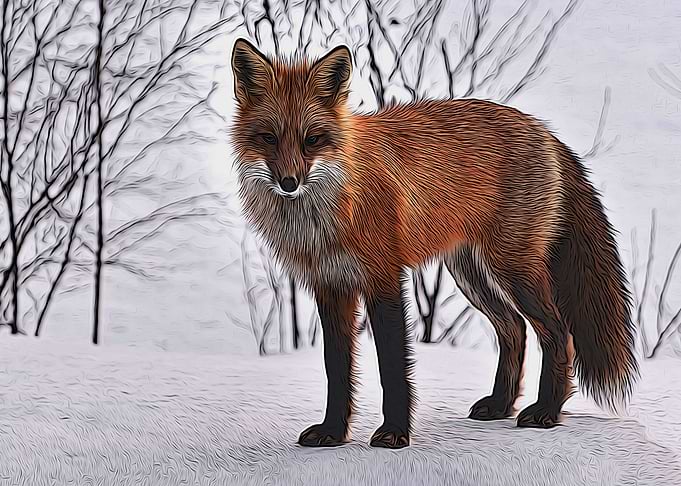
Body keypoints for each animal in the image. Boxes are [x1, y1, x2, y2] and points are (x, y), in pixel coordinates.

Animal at [229, 38, 639, 449]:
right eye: (268, 138)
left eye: (312, 140)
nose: (289, 183)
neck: (327, 212)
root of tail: (542, 128)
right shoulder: (331, 286)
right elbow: (337, 369)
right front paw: (332, 432)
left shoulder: (384, 279)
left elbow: (393, 366)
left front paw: (395, 432)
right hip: (471, 275)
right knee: (514, 330)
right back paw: (501, 405)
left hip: (513, 270)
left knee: (557, 332)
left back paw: (547, 412)